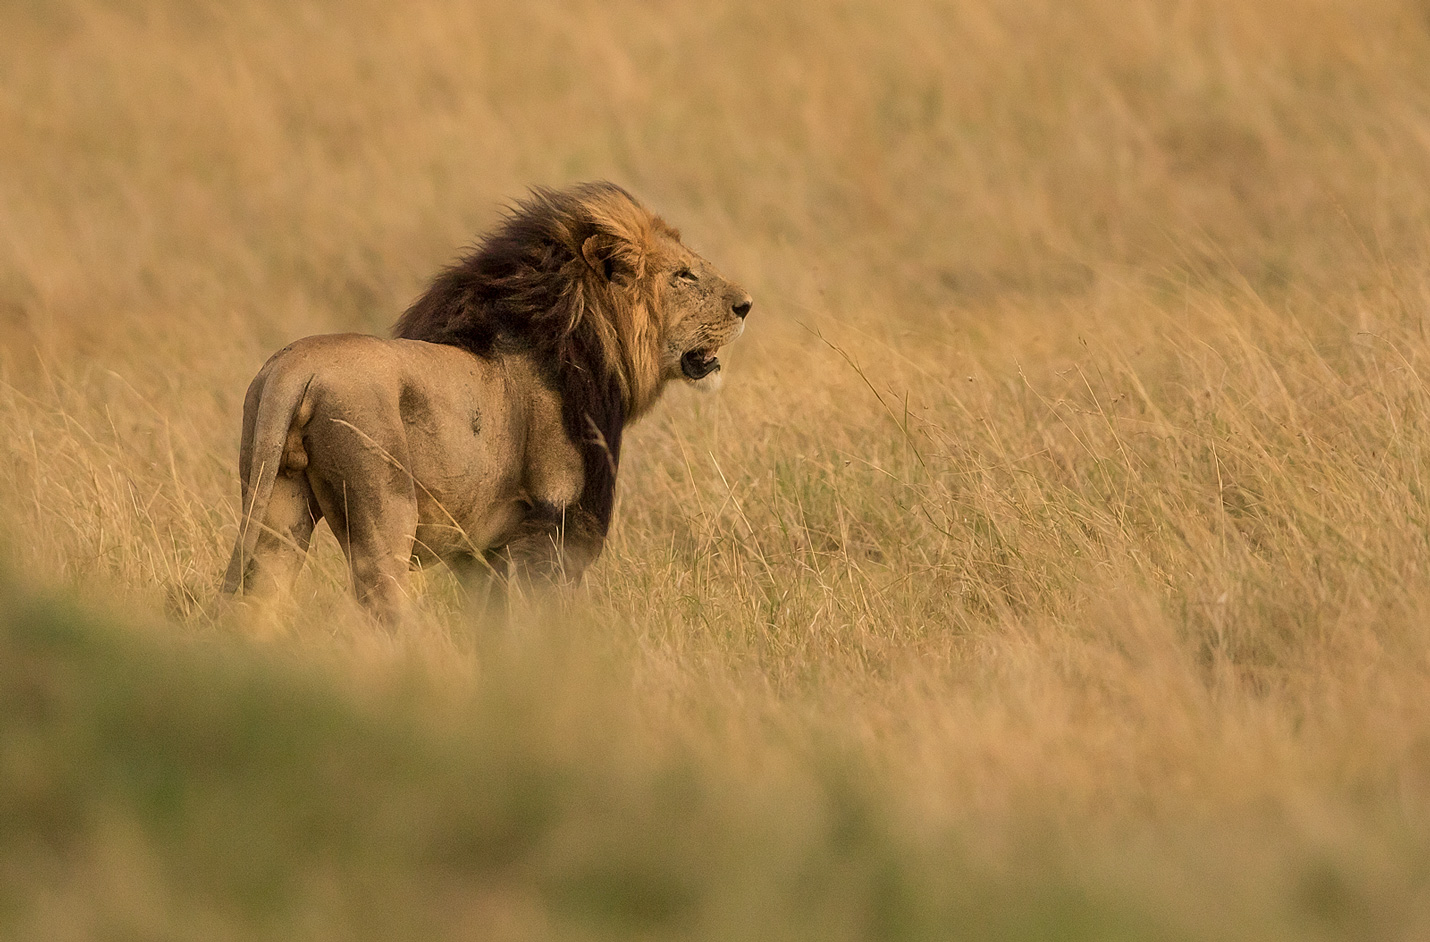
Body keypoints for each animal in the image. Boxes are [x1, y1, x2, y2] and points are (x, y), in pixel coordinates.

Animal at [218, 182, 755, 620]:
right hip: (383, 517)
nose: (746, 305)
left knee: (257, 604)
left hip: (276, 510)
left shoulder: (482, 554)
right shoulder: (554, 535)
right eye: (684, 275)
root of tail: (293, 370)